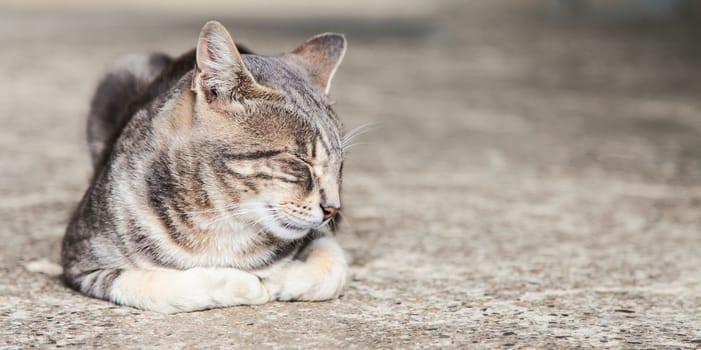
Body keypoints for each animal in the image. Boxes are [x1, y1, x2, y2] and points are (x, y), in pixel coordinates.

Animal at [59, 20, 348, 314]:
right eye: (300, 159)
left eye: (340, 164)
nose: (333, 209)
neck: (223, 219)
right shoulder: (81, 260)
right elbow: (157, 286)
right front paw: (243, 283)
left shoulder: (324, 236)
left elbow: (333, 270)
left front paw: (277, 278)